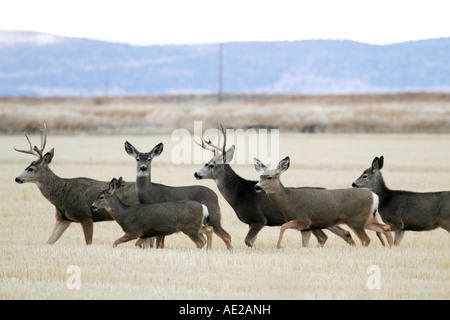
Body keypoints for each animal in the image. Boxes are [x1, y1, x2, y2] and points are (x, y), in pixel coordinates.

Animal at [193, 125, 356, 248]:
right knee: (342, 233)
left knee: (327, 236)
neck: (239, 194)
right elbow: (250, 241)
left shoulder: (259, 219)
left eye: (210, 164)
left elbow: (248, 241)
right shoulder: (251, 222)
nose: (196, 173)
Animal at [255, 156, 392, 249]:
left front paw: (279, 246)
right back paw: (391, 247)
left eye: (269, 177)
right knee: (385, 227)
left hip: (356, 220)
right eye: (260, 177)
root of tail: (374, 196)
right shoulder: (306, 227)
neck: (287, 200)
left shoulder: (303, 219)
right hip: (367, 219)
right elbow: (305, 244)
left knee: (366, 239)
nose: (256, 187)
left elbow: (283, 226)